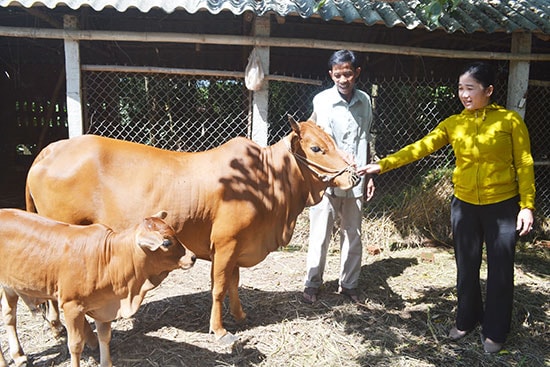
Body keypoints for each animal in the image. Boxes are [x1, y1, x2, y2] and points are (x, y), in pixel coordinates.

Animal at [0, 210, 196, 367]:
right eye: (166, 243)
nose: (192, 257)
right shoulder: (72, 306)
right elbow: (75, 345)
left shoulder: (104, 306)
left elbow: (105, 336)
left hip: (9, 287)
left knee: (9, 317)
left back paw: (18, 356)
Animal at [25, 117, 360, 344]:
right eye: (316, 148)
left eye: (331, 141)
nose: (354, 176)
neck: (267, 179)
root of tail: (48, 151)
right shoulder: (225, 244)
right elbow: (219, 287)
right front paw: (220, 330)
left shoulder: (236, 247)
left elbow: (235, 283)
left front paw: (240, 315)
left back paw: (56, 327)